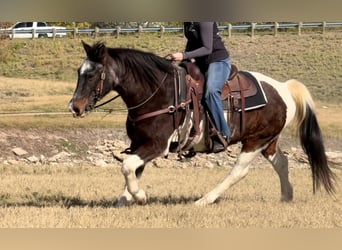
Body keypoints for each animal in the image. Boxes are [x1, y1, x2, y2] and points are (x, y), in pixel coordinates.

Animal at [68, 40, 336, 205]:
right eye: (79, 72)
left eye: (92, 74)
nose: (75, 107)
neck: (158, 92)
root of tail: (283, 88)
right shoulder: (139, 143)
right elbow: (134, 169)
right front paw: (123, 201)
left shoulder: (156, 145)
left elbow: (127, 166)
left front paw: (141, 197)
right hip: (267, 140)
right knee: (281, 162)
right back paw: (286, 197)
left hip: (254, 141)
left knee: (239, 171)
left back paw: (204, 200)